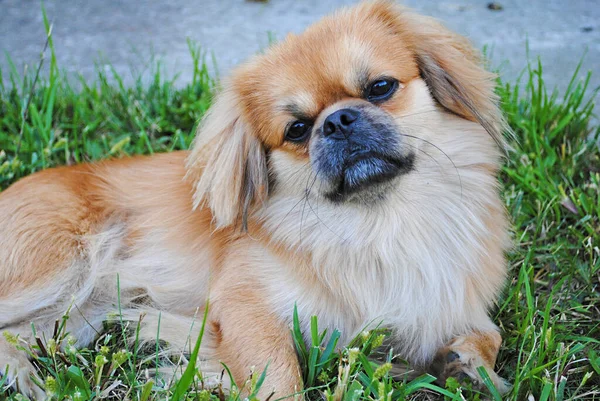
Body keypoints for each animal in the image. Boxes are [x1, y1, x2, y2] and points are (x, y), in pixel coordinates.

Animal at [0, 1, 510, 396]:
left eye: (381, 88)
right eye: (297, 130)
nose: (338, 121)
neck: (377, 224)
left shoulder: (450, 300)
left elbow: (492, 333)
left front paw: (464, 363)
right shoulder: (244, 306)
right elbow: (279, 373)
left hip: (80, 315)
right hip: (58, 267)